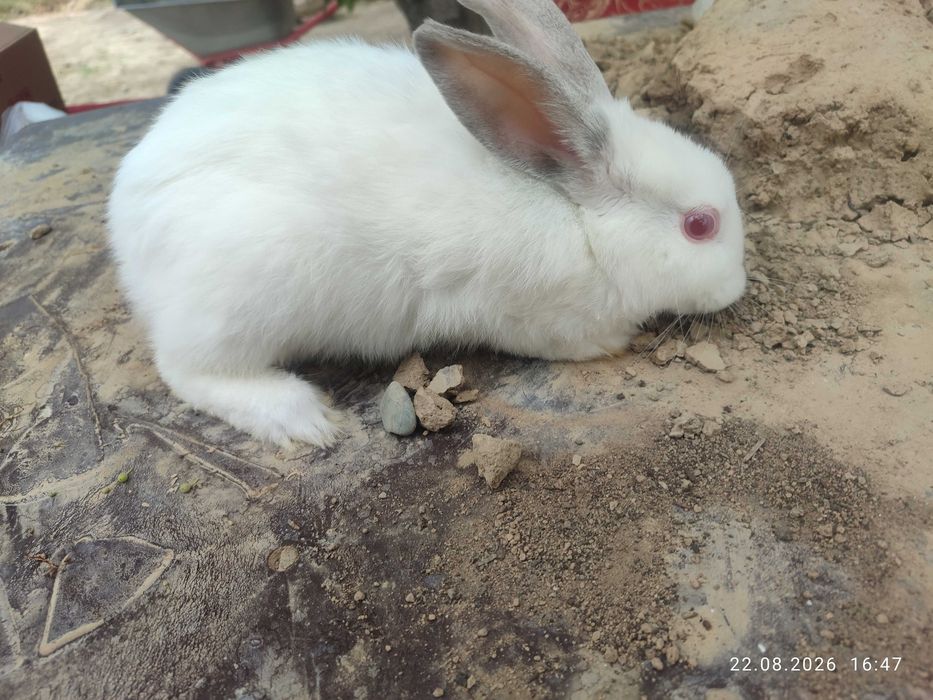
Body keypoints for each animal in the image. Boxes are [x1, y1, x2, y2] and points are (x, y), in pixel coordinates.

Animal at [107, 0, 746, 448]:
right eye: (699, 225)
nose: (737, 287)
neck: (576, 211)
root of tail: (125, 222)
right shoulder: (522, 313)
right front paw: (614, 343)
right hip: (242, 296)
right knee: (188, 370)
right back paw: (303, 420)